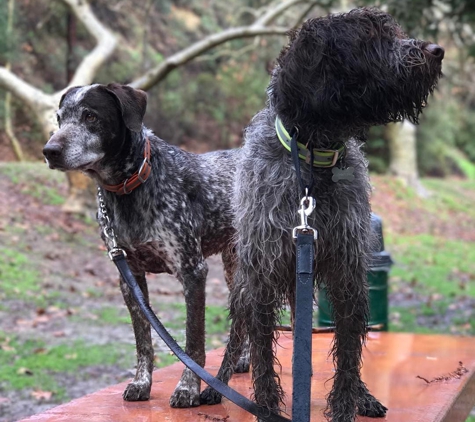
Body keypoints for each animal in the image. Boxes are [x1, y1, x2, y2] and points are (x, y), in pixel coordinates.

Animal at [42, 83, 249, 408]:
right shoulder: (130, 278)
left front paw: (187, 388)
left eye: (90, 116)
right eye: (60, 118)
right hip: (233, 271)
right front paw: (142, 383)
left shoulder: (192, 271)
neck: (129, 189)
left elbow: (193, 342)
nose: (49, 150)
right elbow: (143, 342)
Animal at [202, 7, 446, 422]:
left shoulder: (349, 277)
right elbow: (263, 360)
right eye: (369, 39)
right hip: (244, 287)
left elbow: (347, 358)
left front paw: (348, 404)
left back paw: (363, 395)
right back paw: (212, 386)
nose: (437, 50)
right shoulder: (261, 281)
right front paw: (266, 407)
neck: (314, 162)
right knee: (237, 340)